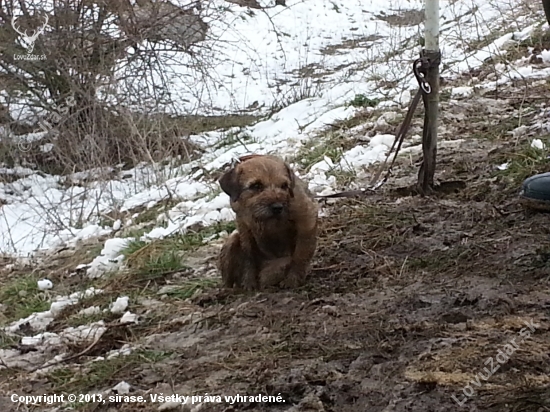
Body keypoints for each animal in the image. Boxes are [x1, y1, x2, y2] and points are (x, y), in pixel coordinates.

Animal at [217, 154, 316, 290]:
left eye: (284, 185)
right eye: (256, 186)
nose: (278, 207)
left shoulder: (306, 220)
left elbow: (300, 254)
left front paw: (293, 279)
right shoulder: (244, 226)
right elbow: (248, 255)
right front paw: (249, 281)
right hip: (232, 240)